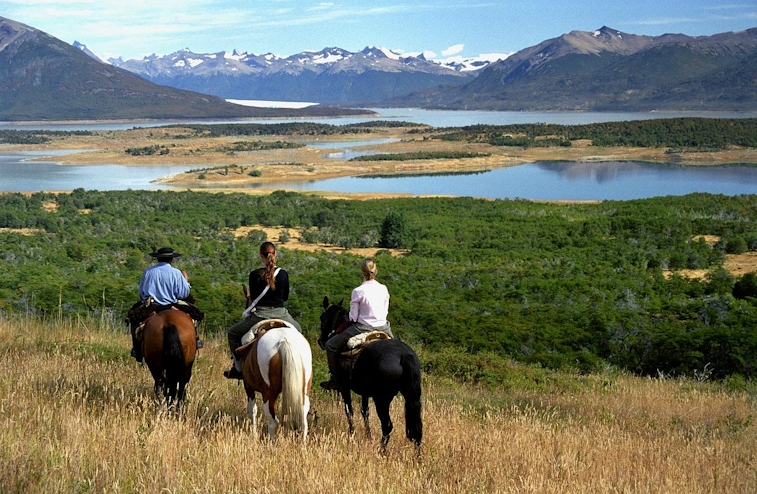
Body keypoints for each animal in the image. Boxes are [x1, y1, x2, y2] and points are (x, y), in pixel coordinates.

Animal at [316, 298, 422, 452]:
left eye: (322, 317)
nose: (321, 341)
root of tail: (404, 356)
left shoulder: (344, 387)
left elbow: (349, 410)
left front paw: (352, 434)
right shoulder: (365, 392)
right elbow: (364, 411)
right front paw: (368, 436)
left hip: (382, 399)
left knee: (387, 425)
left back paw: (382, 451)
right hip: (411, 396)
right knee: (416, 429)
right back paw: (417, 455)